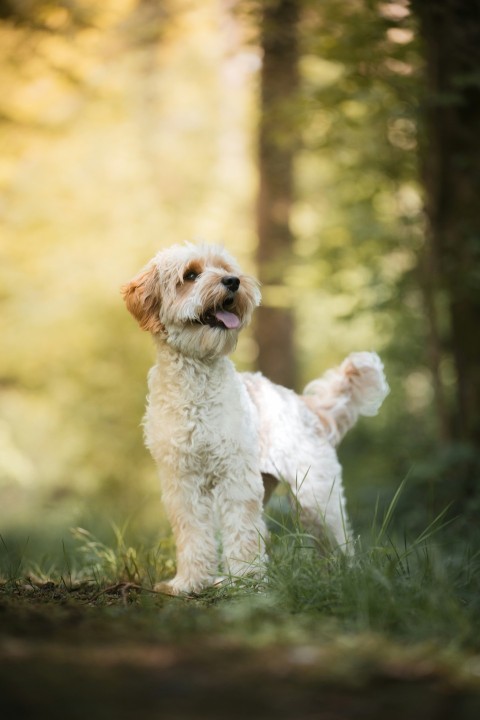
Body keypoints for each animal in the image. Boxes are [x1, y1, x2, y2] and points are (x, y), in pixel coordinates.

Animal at [122, 245, 388, 592]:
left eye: (225, 268)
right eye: (190, 275)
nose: (233, 282)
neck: (197, 382)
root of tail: (303, 404)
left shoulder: (236, 476)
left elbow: (242, 530)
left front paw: (246, 580)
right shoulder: (182, 481)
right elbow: (193, 533)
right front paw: (190, 581)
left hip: (316, 495)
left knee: (338, 537)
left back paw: (350, 576)